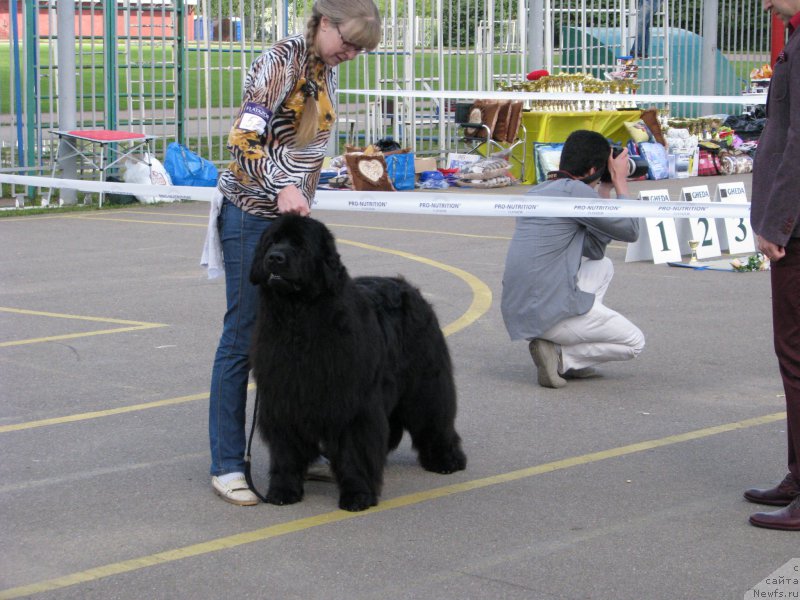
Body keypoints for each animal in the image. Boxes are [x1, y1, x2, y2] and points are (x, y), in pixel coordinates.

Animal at [250, 214, 468, 510]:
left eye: (300, 245)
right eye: (272, 241)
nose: (275, 258)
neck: (300, 319)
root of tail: (407, 286)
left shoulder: (353, 403)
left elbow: (354, 449)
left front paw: (357, 495)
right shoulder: (283, 399)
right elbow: (286, 451)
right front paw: (283, 490)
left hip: (425, 381)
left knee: (436, 415)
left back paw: (446, 459)